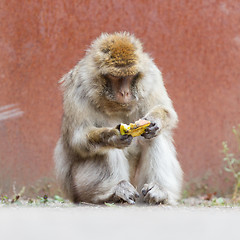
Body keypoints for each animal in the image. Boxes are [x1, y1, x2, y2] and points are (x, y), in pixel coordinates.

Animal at [54, 31, 182, 204]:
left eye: (130, 77)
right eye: (116, 78)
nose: (124, 92)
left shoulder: (152, 76)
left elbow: (167, 111)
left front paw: (155, 121)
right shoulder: (79, 88)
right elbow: (79, 138)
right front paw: (112, 136)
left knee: (154, 138)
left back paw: (159, 191)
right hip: (78, 187)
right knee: (104, 149)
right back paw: (113, 191)